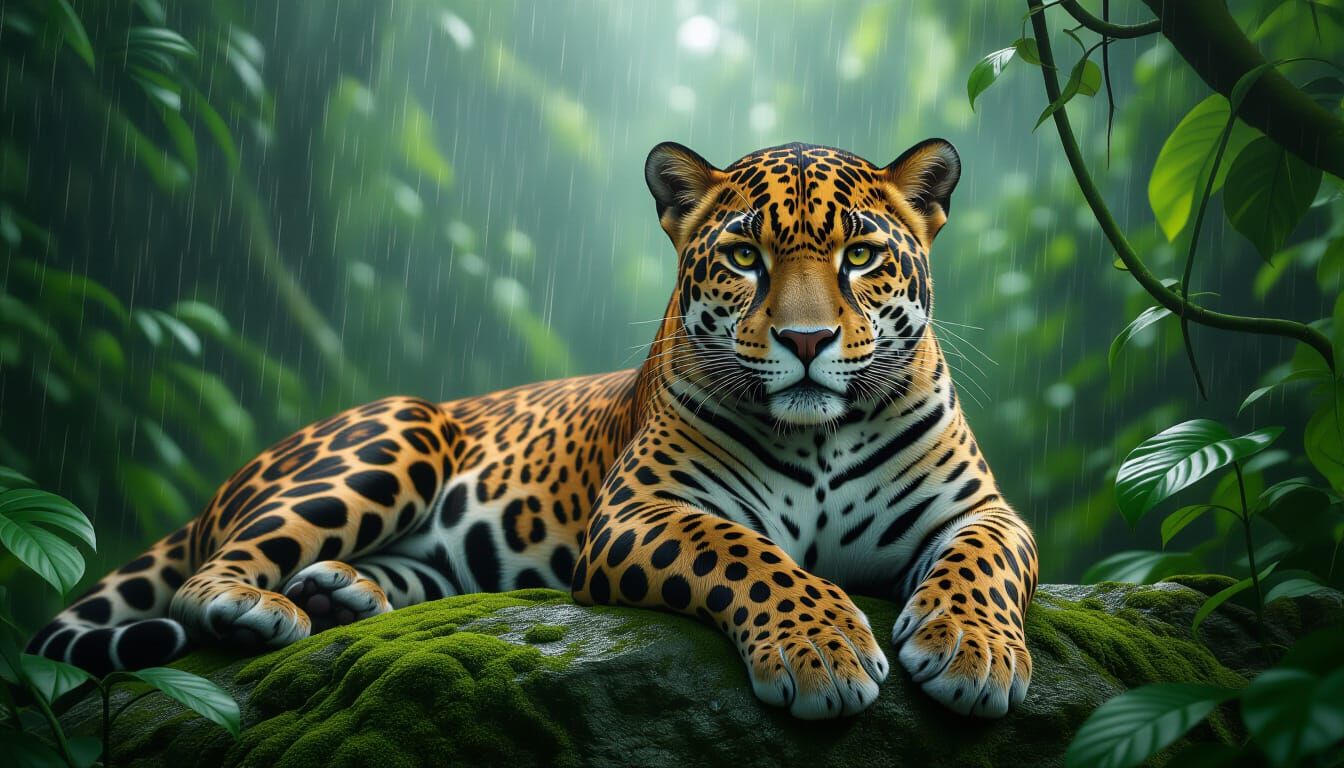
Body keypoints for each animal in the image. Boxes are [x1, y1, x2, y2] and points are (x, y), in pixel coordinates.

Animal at [30, 139, 1037, 720]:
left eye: (860, 255)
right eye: (745, 256)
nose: (804, 340)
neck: (819, 439)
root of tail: (220, 490)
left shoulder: (983, 512)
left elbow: (982, 562)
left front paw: (976, 653)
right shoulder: (642, 513)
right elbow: (749, 556)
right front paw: (820, 651)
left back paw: (343, 595)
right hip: (391, 435)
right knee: (206, 576)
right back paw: (263, 605)